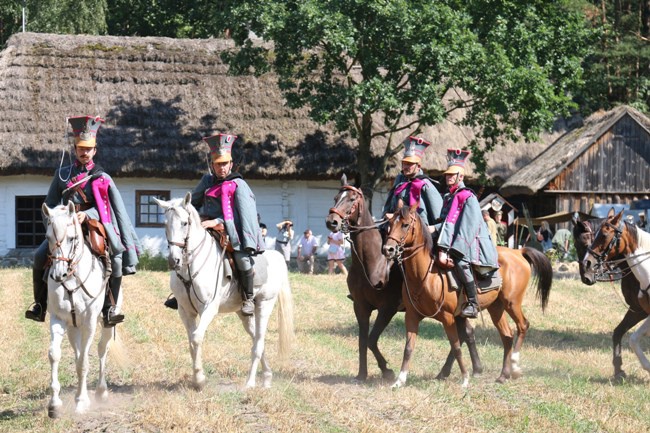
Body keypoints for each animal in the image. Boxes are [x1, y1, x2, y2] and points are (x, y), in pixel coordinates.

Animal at [42, 201, 113, 416]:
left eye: (72, 238)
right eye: (48, 237)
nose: (58, 275)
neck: (72, 278)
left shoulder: (89, 323)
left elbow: (83, 362)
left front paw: (82, 401)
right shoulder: (58, 319)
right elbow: (54, 354)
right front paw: (54, 404)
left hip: (107, 323)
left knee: (102, 348)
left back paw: (100, 391)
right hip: (74, 327)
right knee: (77, 351)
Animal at [154, 192, 294, 388]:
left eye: (184, 223)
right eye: (165, 224)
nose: (174, 261)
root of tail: (276, 256)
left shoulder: (208, 308)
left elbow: (196, 338)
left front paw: (199, 379)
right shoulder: (185, 311)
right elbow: (191, 343)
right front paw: (197, 378)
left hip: (264, 305)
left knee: (258, 343)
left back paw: (250, 383)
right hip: (243, 313)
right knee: (256, 340)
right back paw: (266, 377)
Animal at [324, 174, 480, 380]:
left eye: (351, 199)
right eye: (335, 198)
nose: (331, 222)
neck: (373, 262)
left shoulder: (387, 308)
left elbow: (371, 340)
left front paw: (387, 370)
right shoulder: (360, 307)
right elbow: (363, 340)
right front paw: (362, 374)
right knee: (467, 332)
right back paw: (468, 368)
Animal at [382, 204, 548, 386]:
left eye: (405, 225)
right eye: (390, 224)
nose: (388, 249)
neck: (425, 275)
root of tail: (518, 253)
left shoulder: (448, 317)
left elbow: (456, 346)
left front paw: (465, 379)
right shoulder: (412, 316)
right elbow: (408, 348)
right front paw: (400, 380)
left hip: (512, 303)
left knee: (523, 325)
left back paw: (515, 365)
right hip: (496, 308)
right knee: (507, 335)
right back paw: (503, 375)